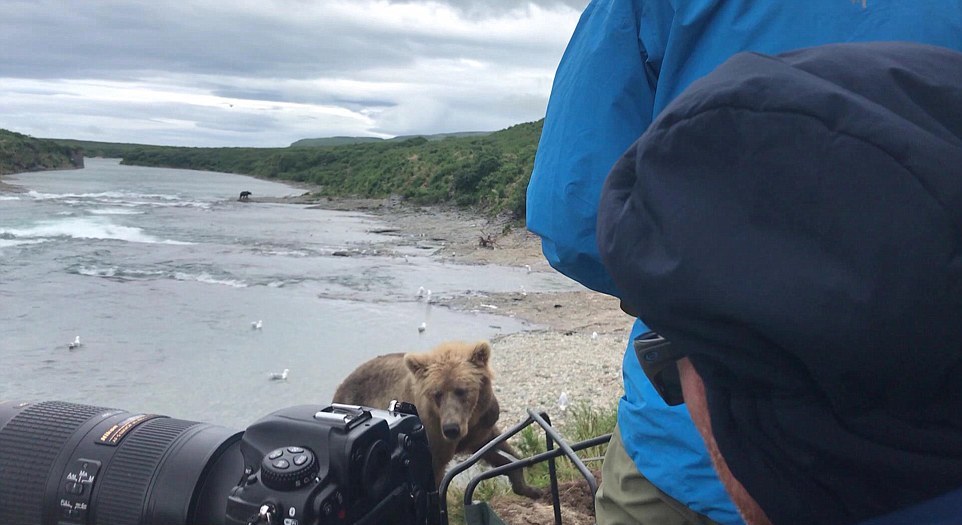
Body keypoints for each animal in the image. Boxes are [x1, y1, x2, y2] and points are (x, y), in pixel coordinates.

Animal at [330, 338, 540, 498]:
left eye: (461, 391)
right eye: (436, 394)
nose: (451, 428)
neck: (469, 419)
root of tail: (341, 384)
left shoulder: (481, 425)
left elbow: (497, 447)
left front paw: (529, 485)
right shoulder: (433, 435)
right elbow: (433, 476)